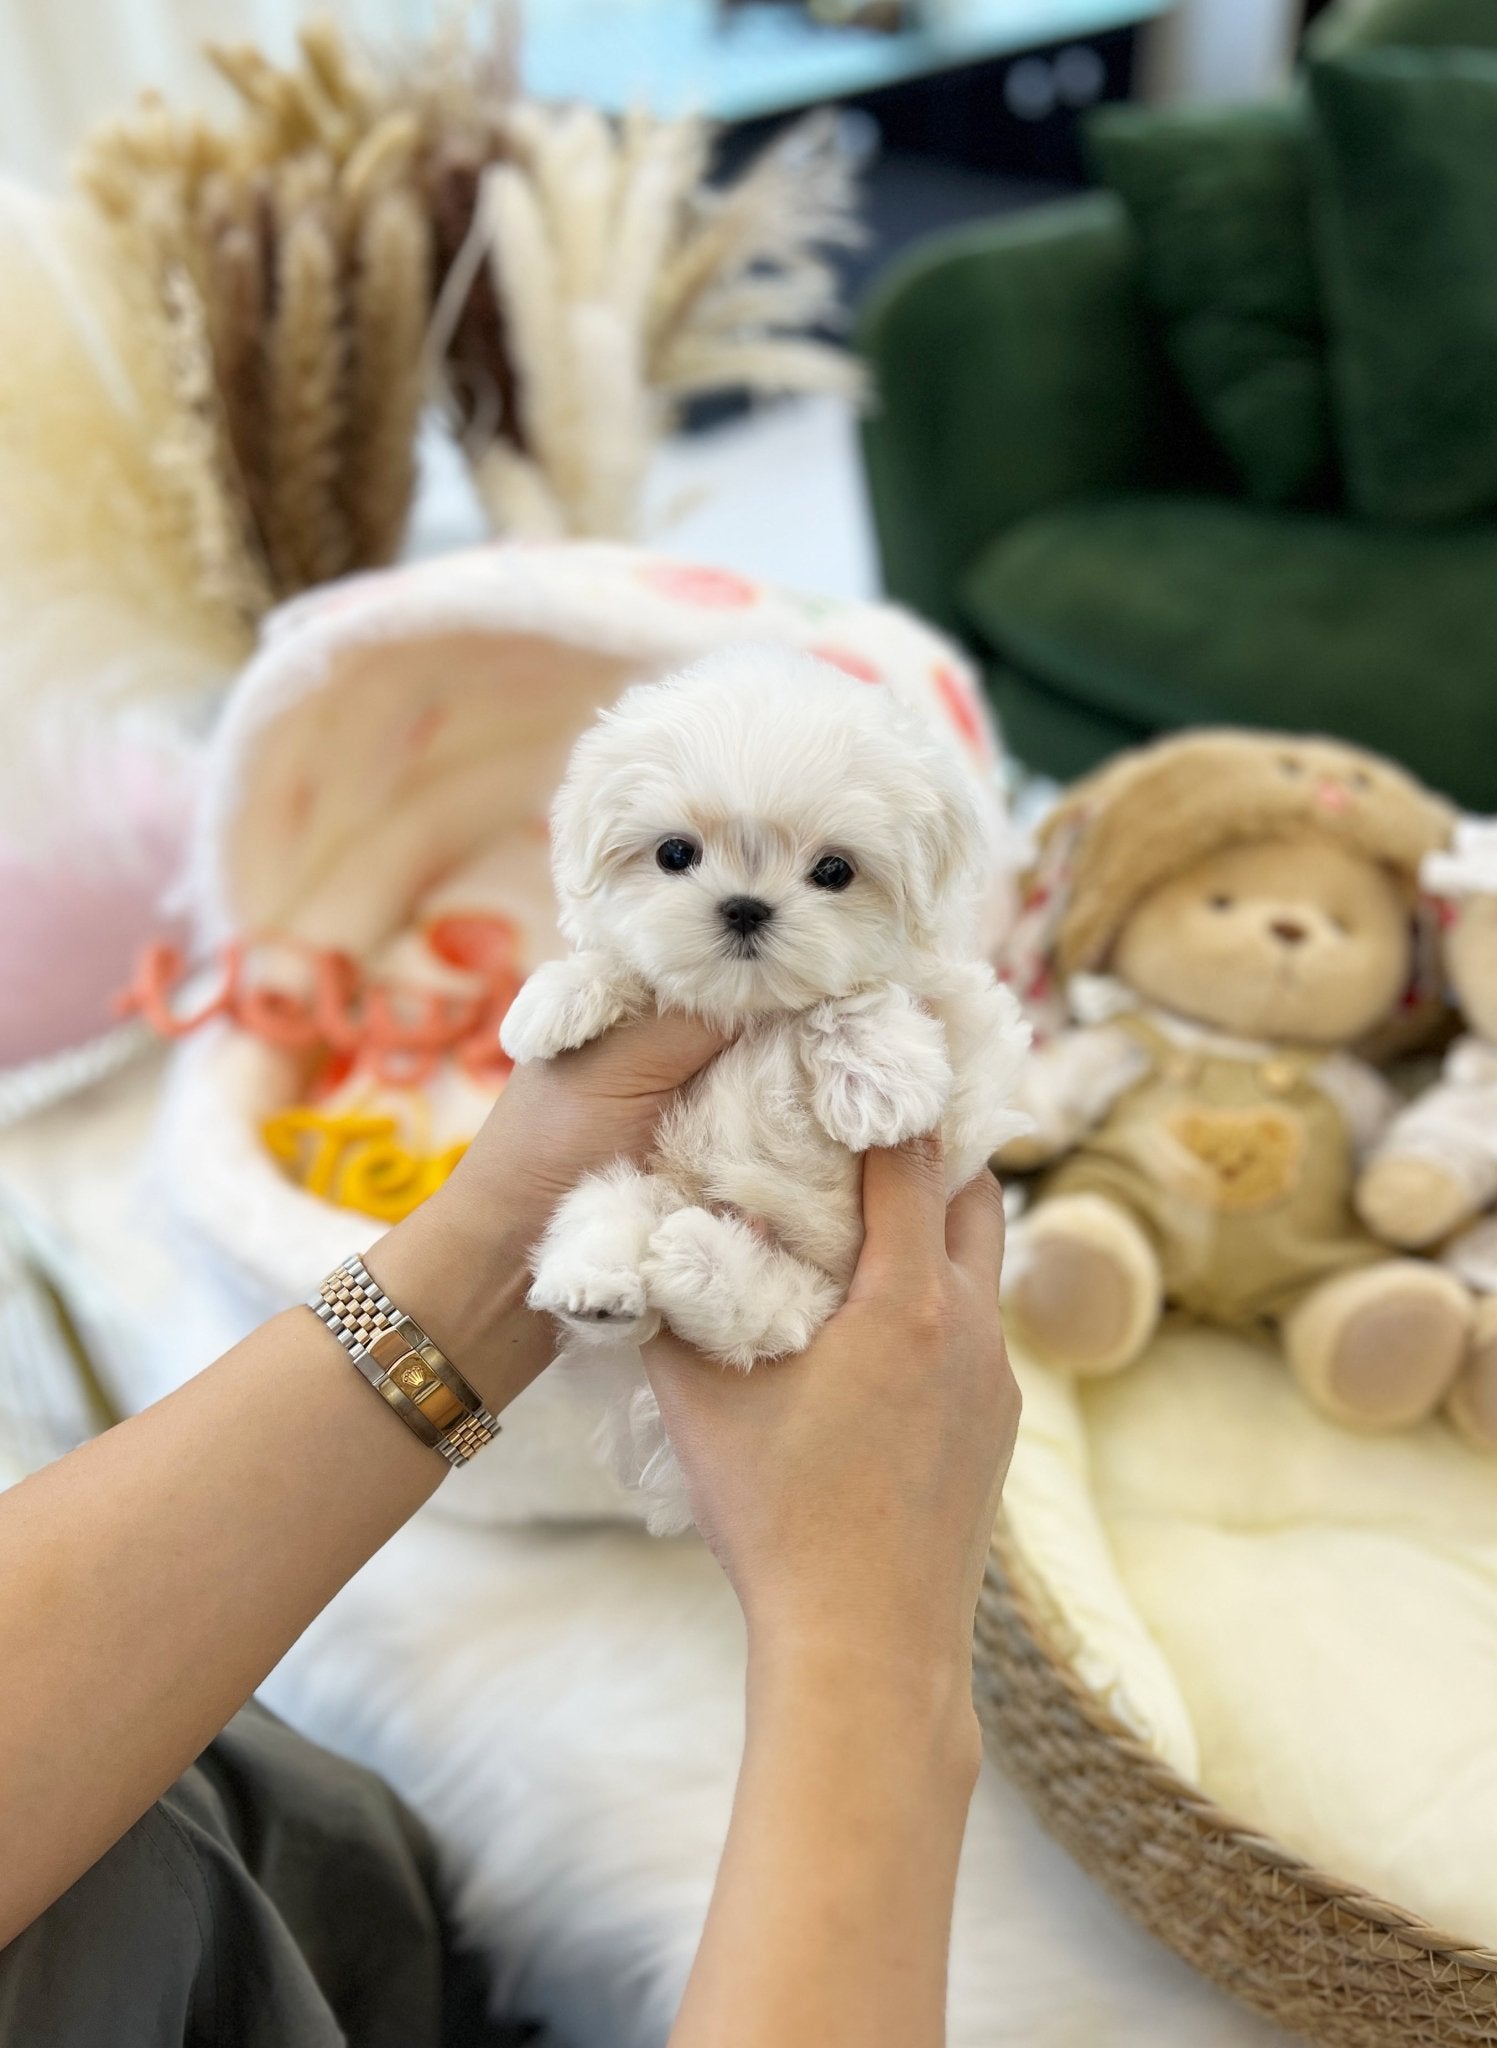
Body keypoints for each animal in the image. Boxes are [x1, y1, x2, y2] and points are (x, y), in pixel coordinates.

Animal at [503, 647, 1032, 1531]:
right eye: (674, 854)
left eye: (834, 870)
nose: (745, 907)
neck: (755, 1013)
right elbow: (623, 961)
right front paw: (556, 1000)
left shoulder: (963, 1023)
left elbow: (861, 998)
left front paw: (883, 1077)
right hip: (642, 1184)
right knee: (605, 1211)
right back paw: (599, 1283)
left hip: (823, 1293)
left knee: (765, 1318)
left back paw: (695, 1262)